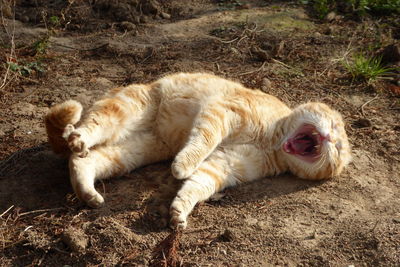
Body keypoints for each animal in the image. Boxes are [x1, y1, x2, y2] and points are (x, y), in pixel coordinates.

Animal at [45, 73, 352, 230]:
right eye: (335, 127)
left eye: (337, 148)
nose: (329, 137)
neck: (273, 141)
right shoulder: (222, 112)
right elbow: (201, 142)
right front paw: (182, 165)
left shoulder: (224, 165)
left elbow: (197, 185)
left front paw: (180, 211)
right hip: (125, 110)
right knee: (86, 131)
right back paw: (78, 137)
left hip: (131, 153)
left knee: (82, 161)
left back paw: (87, 192)